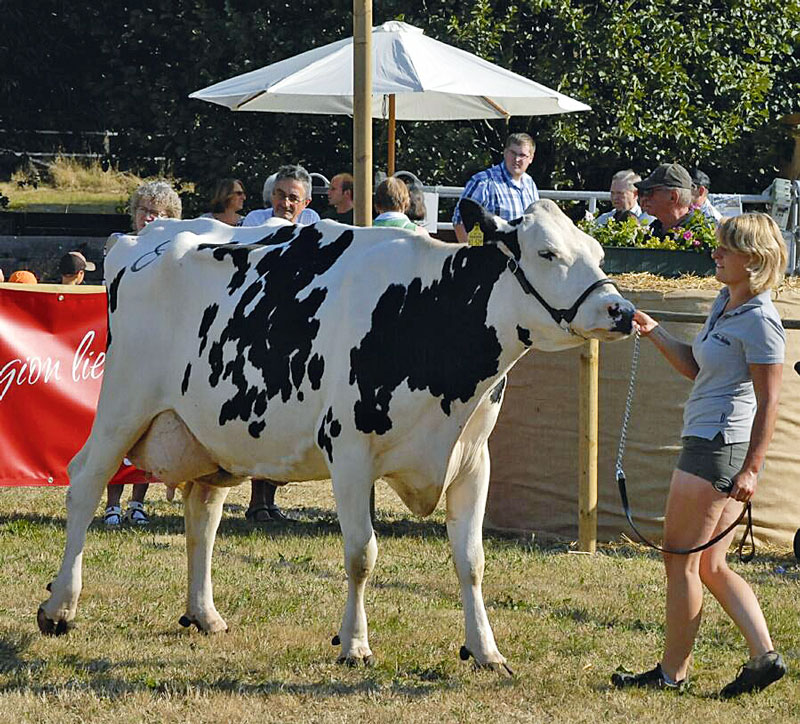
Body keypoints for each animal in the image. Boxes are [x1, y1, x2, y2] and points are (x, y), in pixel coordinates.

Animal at [37, 199, 636, 672]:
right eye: (547, 254)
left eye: (599, 254)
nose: (623, 310)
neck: (427, 315)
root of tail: (146, 234)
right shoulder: (349, 452)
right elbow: (360, 553)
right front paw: (354, 644)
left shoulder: (471, 458)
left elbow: (472, 559)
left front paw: (485, 650)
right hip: (123, 402)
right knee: (84, 482)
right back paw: (60, 607)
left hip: (213, 432)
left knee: (202, 513)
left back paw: (204, 614)